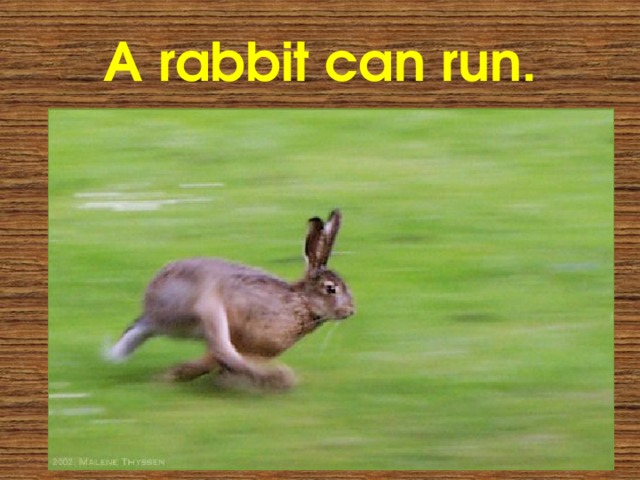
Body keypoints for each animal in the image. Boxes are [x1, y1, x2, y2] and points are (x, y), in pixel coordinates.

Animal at [106, 209, 355, 390]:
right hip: (208, 307)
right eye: (330, 289)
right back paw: (275, 378)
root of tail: (150, 310)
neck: (299, 302)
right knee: (223, 350)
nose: (351, 311)